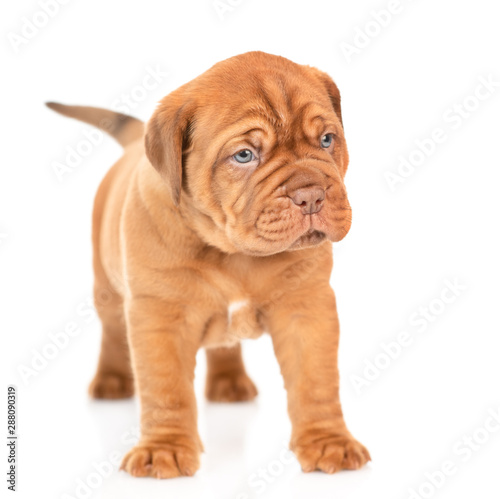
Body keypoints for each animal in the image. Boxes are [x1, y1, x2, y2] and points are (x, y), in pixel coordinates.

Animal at [47, 51, 370, 480]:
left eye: (327, 140)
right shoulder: (159, 316)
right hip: (107, 290)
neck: (233, 253)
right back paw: (111, 382)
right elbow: (166, 389)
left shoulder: (307, 307)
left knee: (224, 344)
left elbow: (315, 382)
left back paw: (230, 383)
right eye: (244, 155)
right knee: (113, 335)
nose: (312, 195)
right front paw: (163, 450)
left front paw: (328, 442)